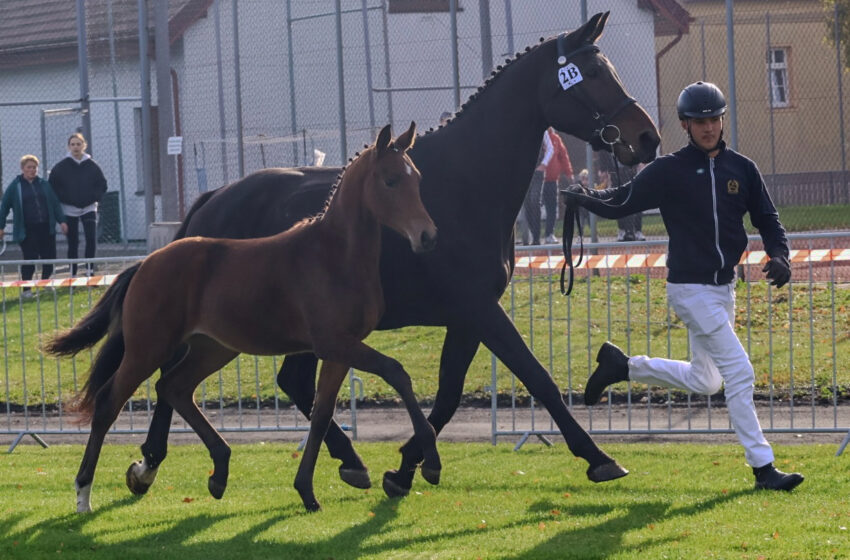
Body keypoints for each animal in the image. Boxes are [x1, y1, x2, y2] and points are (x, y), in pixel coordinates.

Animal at [48, 122, 438, 512]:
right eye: (389, 180)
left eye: (417, 178)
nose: (427, 235)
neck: (334, 254)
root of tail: (146, 263)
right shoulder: (334, 342)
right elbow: (395, 372)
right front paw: (431, 463)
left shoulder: (340, 350)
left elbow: (322, 414)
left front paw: (308, 490)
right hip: (148, 348)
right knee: (109, 403)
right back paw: (84, 494)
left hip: (213, 348)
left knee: (174, 387)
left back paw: (219, 470)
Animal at [139, 10, 660, 496]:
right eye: (591, 74)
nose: (647, 138)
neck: (466, 183)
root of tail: (212, 201)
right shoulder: (480, 309)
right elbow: (536, 376)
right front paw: (598, 457)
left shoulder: (466, 317)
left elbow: (448, 393)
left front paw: (406, 466)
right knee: (174, 375)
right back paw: (149, 462)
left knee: (286, 382)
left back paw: (349, 460)